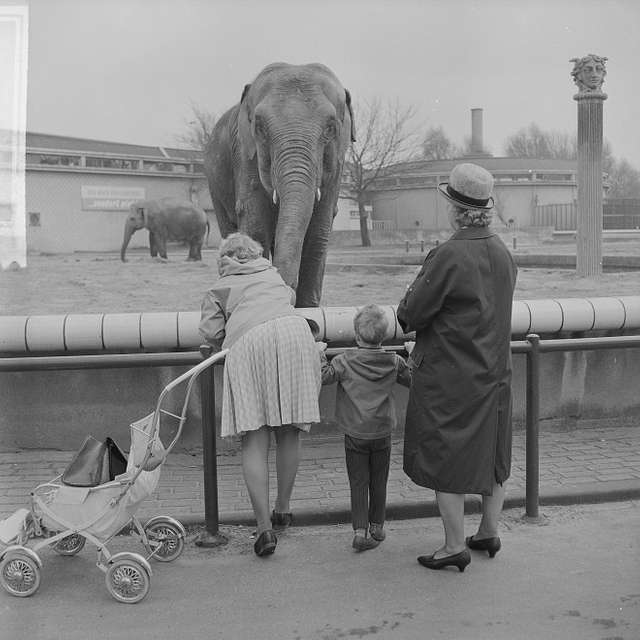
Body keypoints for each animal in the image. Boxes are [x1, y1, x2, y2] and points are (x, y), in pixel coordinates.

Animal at [204, 62, 356, 308]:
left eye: (331, 128)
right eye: (260, 127)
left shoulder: (337, 170)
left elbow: (318, 234)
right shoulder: (245, 155)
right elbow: (256, 227)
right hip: (214, 183)